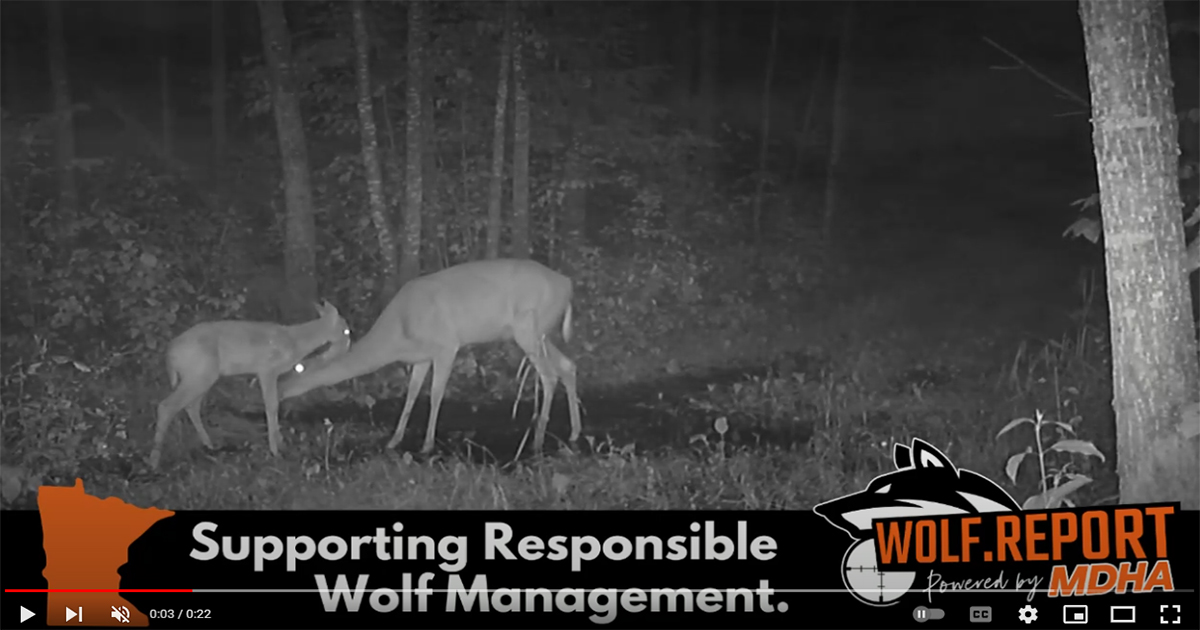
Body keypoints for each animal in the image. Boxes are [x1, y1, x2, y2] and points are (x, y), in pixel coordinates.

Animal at [149, 301, 353, 470]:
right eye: (346, 331)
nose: (347, 347)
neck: (295, 341)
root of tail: (170, 353)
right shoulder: (266, 369)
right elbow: (271, 405)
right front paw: (275, 450)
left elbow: (275, 403)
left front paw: (280, 442)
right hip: (198, 373)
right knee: (167, 406)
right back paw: (154, 461)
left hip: (202, 376)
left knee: (191, 406)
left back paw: (210, 445)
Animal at [279, 258, 583, 455]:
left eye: (298, 367)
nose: (279, 391)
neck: (398, 334)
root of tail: (568, 284)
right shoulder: (421, 357)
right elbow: (412, 394)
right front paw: (394, 440)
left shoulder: (446, 345)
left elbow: (435, 394)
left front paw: (426, 444)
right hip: (540, 333)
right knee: (568, 365)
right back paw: (575, 432)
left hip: (528, 328)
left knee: (550, 375)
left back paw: (538, 440)